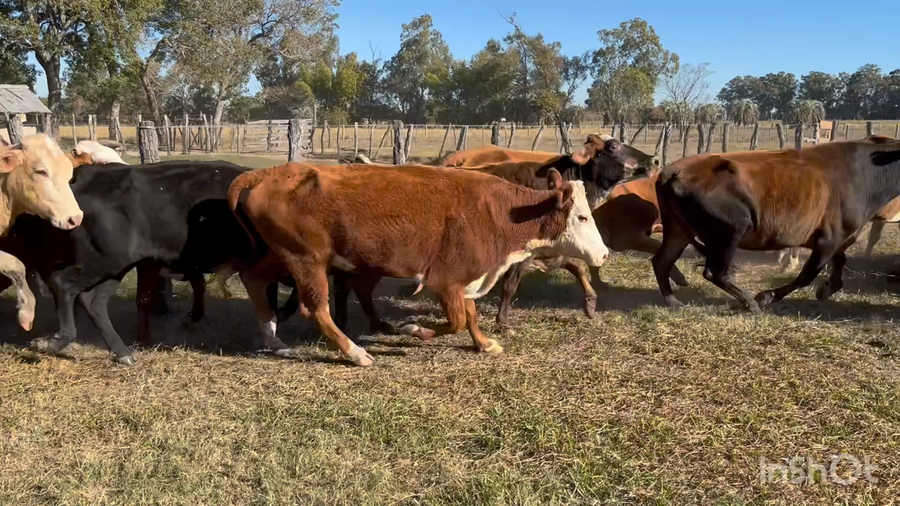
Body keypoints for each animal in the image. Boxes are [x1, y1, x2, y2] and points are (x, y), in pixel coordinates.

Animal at [228, 163, 609, 367]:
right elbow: (456, 321)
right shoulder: (446, 282)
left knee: (252, 277)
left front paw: (484, 343)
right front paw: (415, 330)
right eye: (582, 217)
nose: (604, 254)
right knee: (316, 309)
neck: (500, 211)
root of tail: (270, 173)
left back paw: (272, 336)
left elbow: (470, 316)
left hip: (282, 255)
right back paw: (356, 353)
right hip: (307, 261)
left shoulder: (467, 279)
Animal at [652, 139, 900, 311]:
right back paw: (750, 302)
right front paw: (766, 297)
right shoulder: (828, 239)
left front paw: (828, 287)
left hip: (677, 229)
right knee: (715, 272)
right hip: (731, 229)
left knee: (661, 261)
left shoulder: (841, 237)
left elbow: (839, 263)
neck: (868, 173)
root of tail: (672, 169)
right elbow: (807, 275)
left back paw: (672, 301)